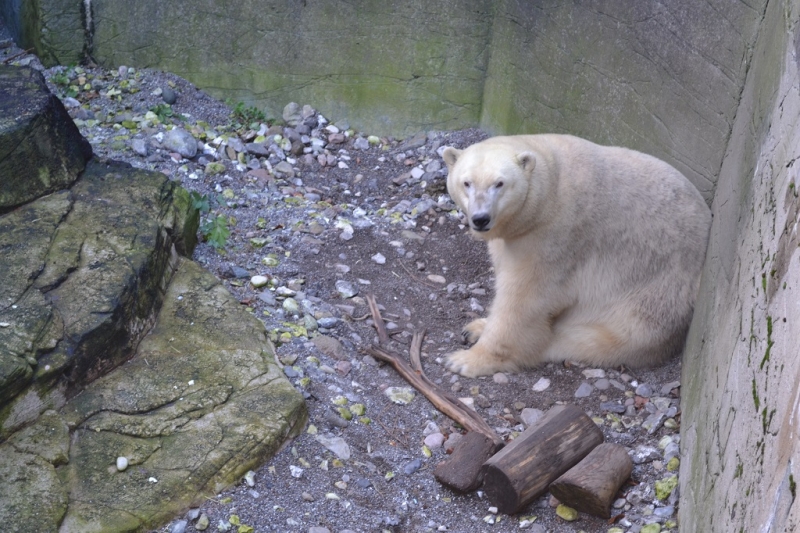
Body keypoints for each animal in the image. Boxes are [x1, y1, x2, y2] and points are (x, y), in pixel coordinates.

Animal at [444, 137, 712, 378]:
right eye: (466, 182)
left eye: (499, 183)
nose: (480, 218)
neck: (550, 187)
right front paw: (475, 328)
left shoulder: (556, 237)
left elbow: (525, 299)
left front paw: (466, 361)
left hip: (652, 295)